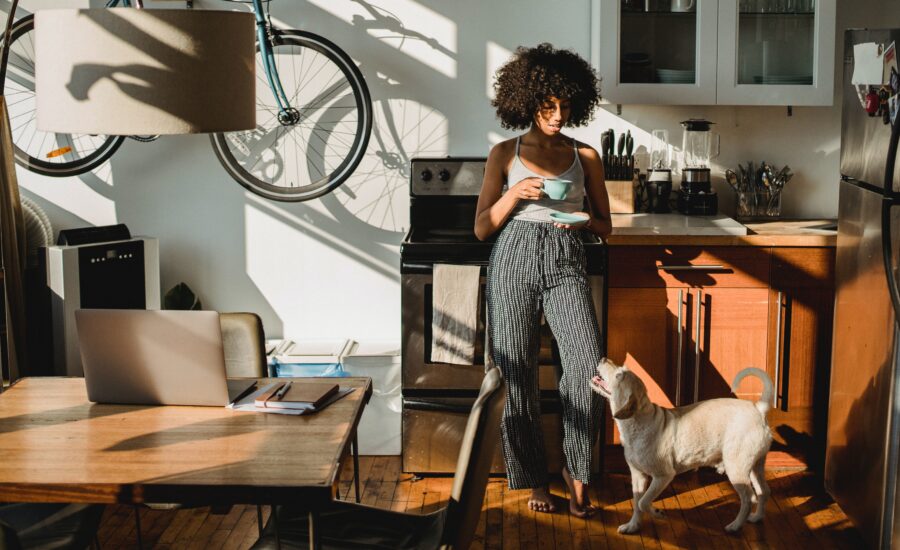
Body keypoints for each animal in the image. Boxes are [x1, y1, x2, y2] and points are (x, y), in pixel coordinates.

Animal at [592, 358, 772, 536]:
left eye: (619, 375)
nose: (603, 358)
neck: (637, 421)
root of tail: (758, 409)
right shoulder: (638, 475)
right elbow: (637, 503)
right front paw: (633, 526)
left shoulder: (663, 476)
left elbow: (643, 502)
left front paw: (657, 513)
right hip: (755, 466)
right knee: (763, 491)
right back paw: (757, 517)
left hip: (736, 468)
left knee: (748, 498)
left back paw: (735, 526)